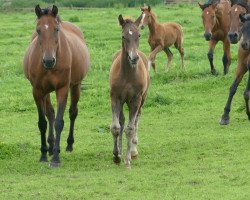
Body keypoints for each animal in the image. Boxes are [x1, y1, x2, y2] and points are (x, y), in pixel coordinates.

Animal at [22, 5, 90, 167]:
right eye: (38, 30)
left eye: (56, 29)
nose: (48, 61)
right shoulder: (37, 91)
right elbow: (43, 122)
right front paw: (43, 154)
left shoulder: (62, 89)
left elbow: (59, 122)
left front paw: (55, 159)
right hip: (46, 92)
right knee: (50, 113)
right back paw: (50, 146)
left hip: (75, 86)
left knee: (73, 112)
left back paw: (69, 145)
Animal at [109, 14, 148, 169]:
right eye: (123, 36)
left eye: (139, 35)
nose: (134, 58)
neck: (127, 75)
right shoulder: (115, 97)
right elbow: (116, 127)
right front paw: (116, 155)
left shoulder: (136, 99)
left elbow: (130, 129)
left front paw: (127, 161)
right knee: (122, 121)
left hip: (142, 100)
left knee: (136, 119)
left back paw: (133, 151)